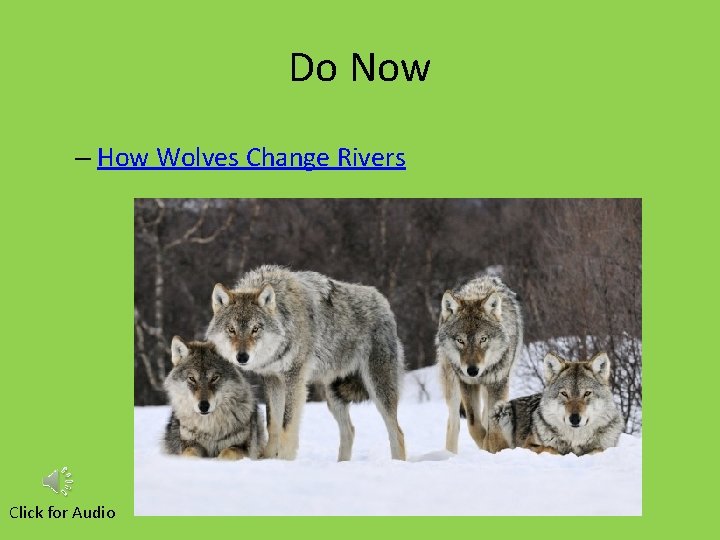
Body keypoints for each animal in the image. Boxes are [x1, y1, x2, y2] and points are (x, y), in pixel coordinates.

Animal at [205, 265, 406, 461]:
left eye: (255, 329)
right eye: (231, 329)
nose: (242, 357)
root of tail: (383, 302)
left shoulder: (294, 379)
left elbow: (287, 424)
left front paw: (285, 460)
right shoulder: (272, 379)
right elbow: (273, 424)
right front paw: (268, 458)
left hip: (378, 388)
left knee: (397, 432)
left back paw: (397, 463)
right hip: (333, 396)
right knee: (350, 430)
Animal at [436, 275, 523, 453]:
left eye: (483, 339)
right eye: (460, 340)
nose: (472, 370)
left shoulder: (498, 383)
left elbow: (491, 425)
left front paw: (491, 446)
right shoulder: (467, 384)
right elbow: (473, 424)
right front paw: (485, 444)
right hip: (452, 385)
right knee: (453, 423)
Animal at [492, 352, 623, 455]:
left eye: (587, 393)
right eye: (564, 394)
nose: (574, 419)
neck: (575, 440)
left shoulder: (606, 447)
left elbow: (598, 449)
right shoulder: (527, 446)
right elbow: (550, 448)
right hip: (502, 410)